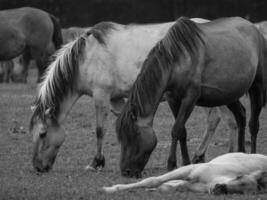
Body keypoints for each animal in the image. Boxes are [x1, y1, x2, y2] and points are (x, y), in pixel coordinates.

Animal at [29, 18, 247, 173]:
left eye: (43, 133)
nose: (38, 167)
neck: (87, 57)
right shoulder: (116, 100)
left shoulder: (101, 96)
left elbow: (100, 130)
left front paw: (96, 162)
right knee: (228, 121)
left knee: (216, 120)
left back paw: (207, 155)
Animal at [102, 152, 267, 195]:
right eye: (239, 177)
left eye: (241, 192)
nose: (219, 188)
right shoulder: (189, 169)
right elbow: (153, 180)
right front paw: (109, 189)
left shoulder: (189, 183)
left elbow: (167, 186)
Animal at [116, 16, 267, 177]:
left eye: (134, 134)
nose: (126, 171)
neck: (177, 61)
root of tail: (255, 29)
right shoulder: (173, 99)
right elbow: (182, 131)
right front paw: (185, 162)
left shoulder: (190, 98)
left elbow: (176, 129)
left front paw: (171, 163)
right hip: (229, 95)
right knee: (241, 116)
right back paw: (240, 153)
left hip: (257, 88)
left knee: (253, 124)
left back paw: (253, 156)